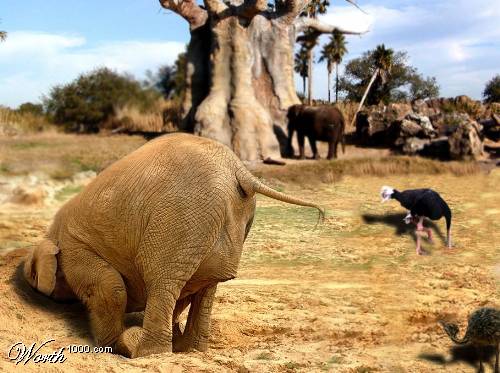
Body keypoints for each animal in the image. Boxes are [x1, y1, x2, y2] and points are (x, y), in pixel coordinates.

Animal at [22, 133, 324, 358]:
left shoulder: (75, 246)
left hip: (180, 215)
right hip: (224, 220)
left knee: (163, 282)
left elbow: (110, 288)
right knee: (206, 286)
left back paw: (146, 353)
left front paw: (113, 347)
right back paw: (191, 350)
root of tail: (241, 170)